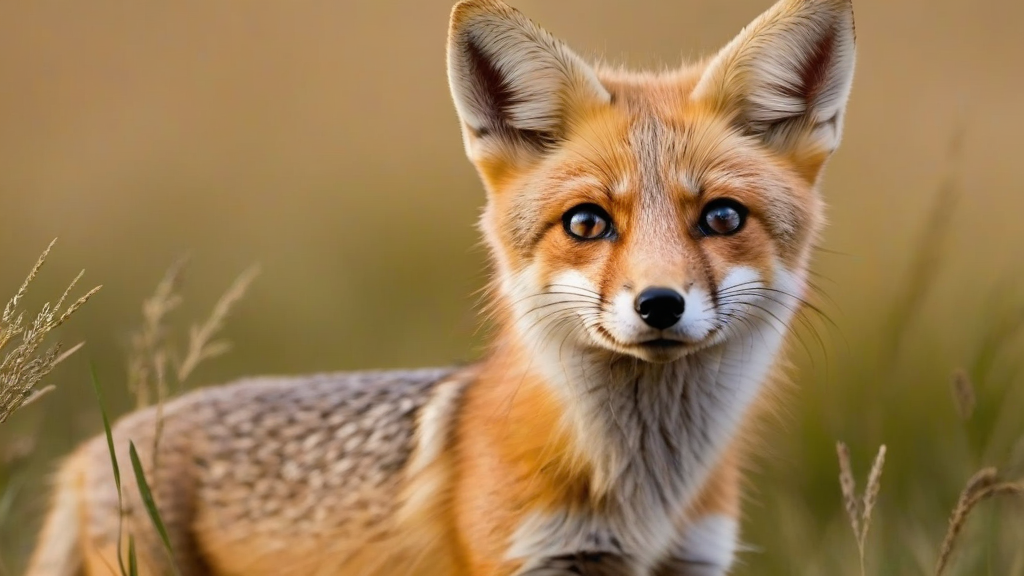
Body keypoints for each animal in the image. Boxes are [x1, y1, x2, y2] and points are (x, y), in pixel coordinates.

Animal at [26, 0, 856, 574]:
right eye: (587, 223)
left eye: (722, 216)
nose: (658, 303)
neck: (646, 500)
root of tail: (95, 447)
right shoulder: (533, 558)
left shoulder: (693, 560)